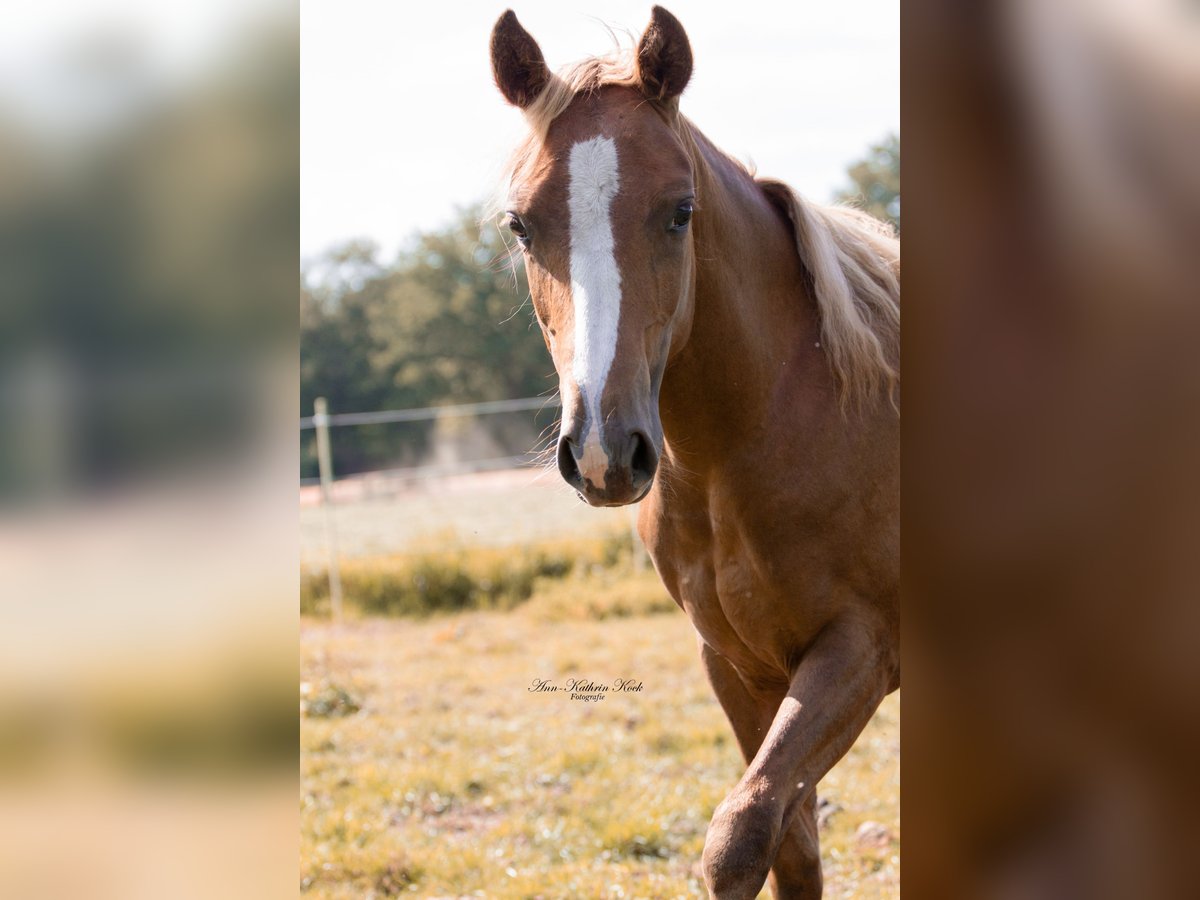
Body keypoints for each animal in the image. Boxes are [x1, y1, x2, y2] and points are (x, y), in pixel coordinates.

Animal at [489, 7, 899, 897]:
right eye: (520, 225)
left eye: (680, 211)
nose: (605, 452)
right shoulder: (737, 665)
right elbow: (788, 845)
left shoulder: (861, 648)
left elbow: (740, 831)